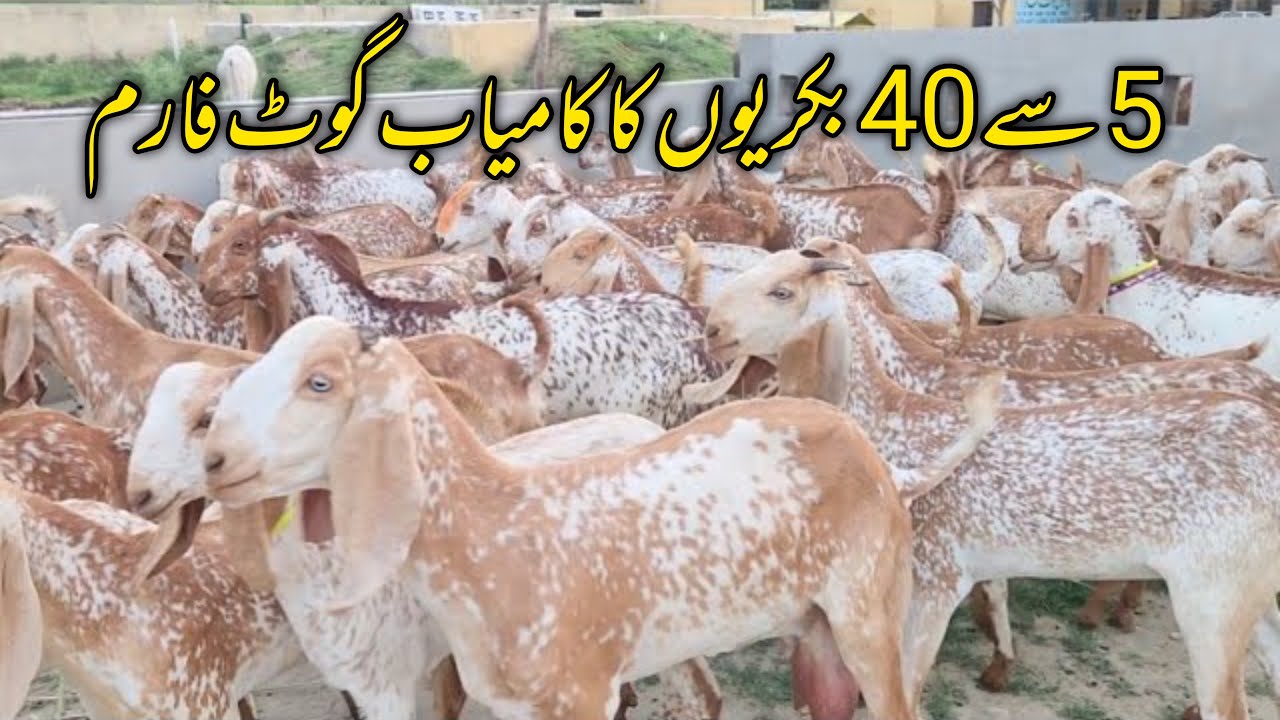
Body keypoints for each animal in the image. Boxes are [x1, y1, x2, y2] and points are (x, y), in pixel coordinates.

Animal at [702, 248, 1280, 719]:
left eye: (782, 291)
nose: (711, 327)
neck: (892, 416)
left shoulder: (934, 578)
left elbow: (907, 691)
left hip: (1212, 594)